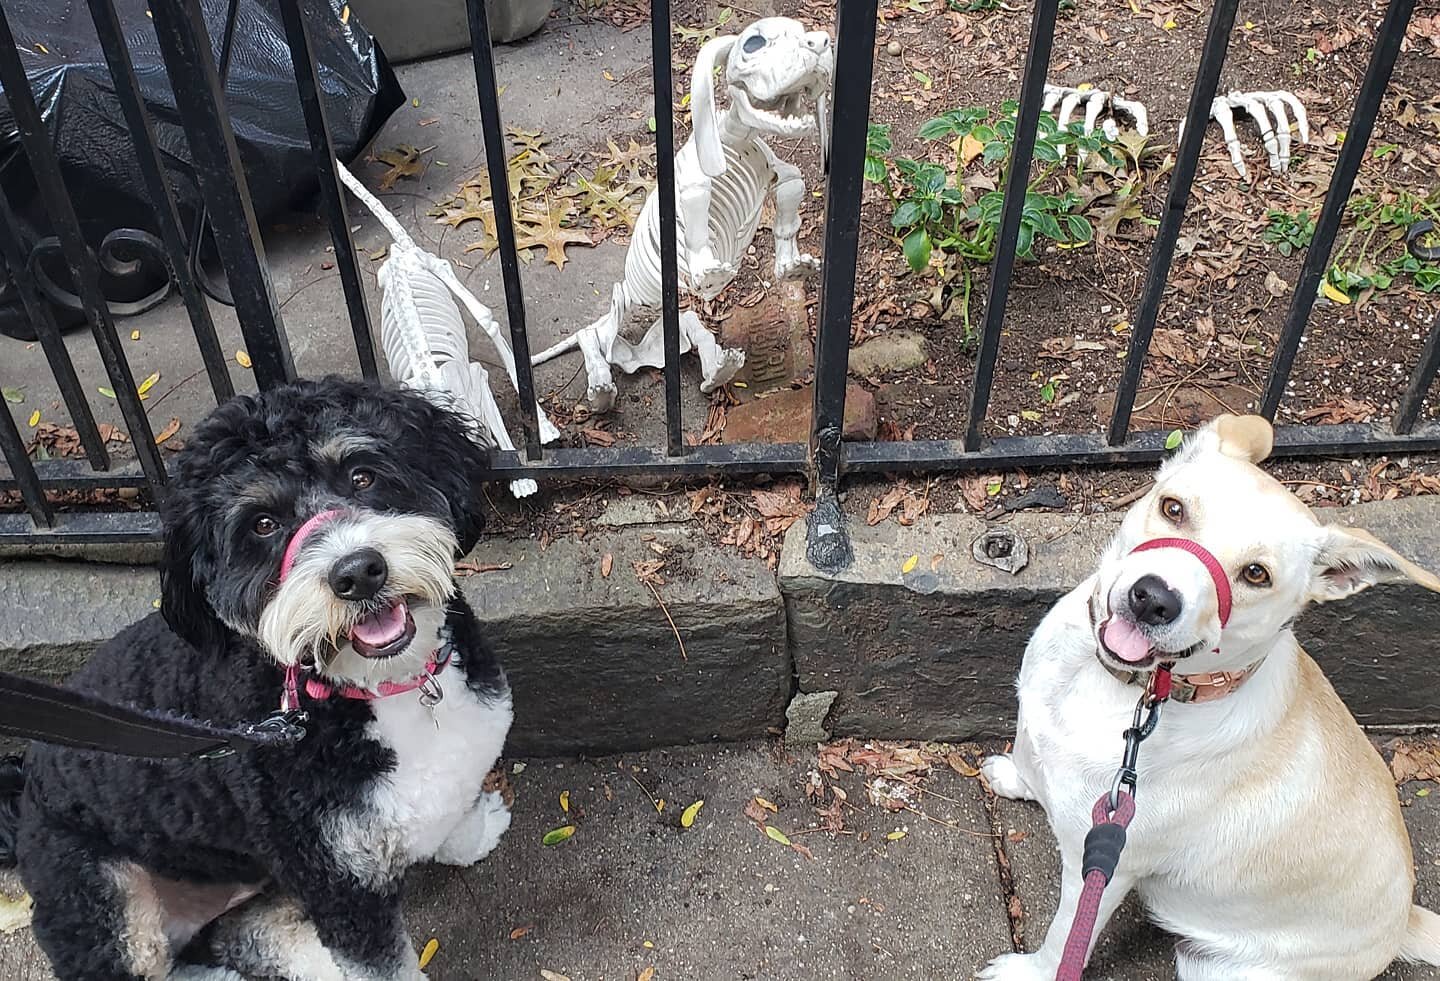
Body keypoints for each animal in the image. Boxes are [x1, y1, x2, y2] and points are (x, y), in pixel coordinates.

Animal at [0, 377, 515, 979]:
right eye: (262, 524)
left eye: (361, 475)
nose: (357, 572)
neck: (376, 688)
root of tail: (23, 802)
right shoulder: (336, 883)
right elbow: (380, 963)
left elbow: (455, 804)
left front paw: (472, 833)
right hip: (103, 902)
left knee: (251, 934)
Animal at [979, 414, 1440, 979]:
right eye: (1173, 508)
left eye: (1256, 574)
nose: (1153, 598)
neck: (1125, 688)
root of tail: (1403, 924)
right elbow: (1030, 759)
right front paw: (1016, 777)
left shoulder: (1106, 867)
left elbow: (1065, 939)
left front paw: (1030, 971)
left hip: (1217, 966)